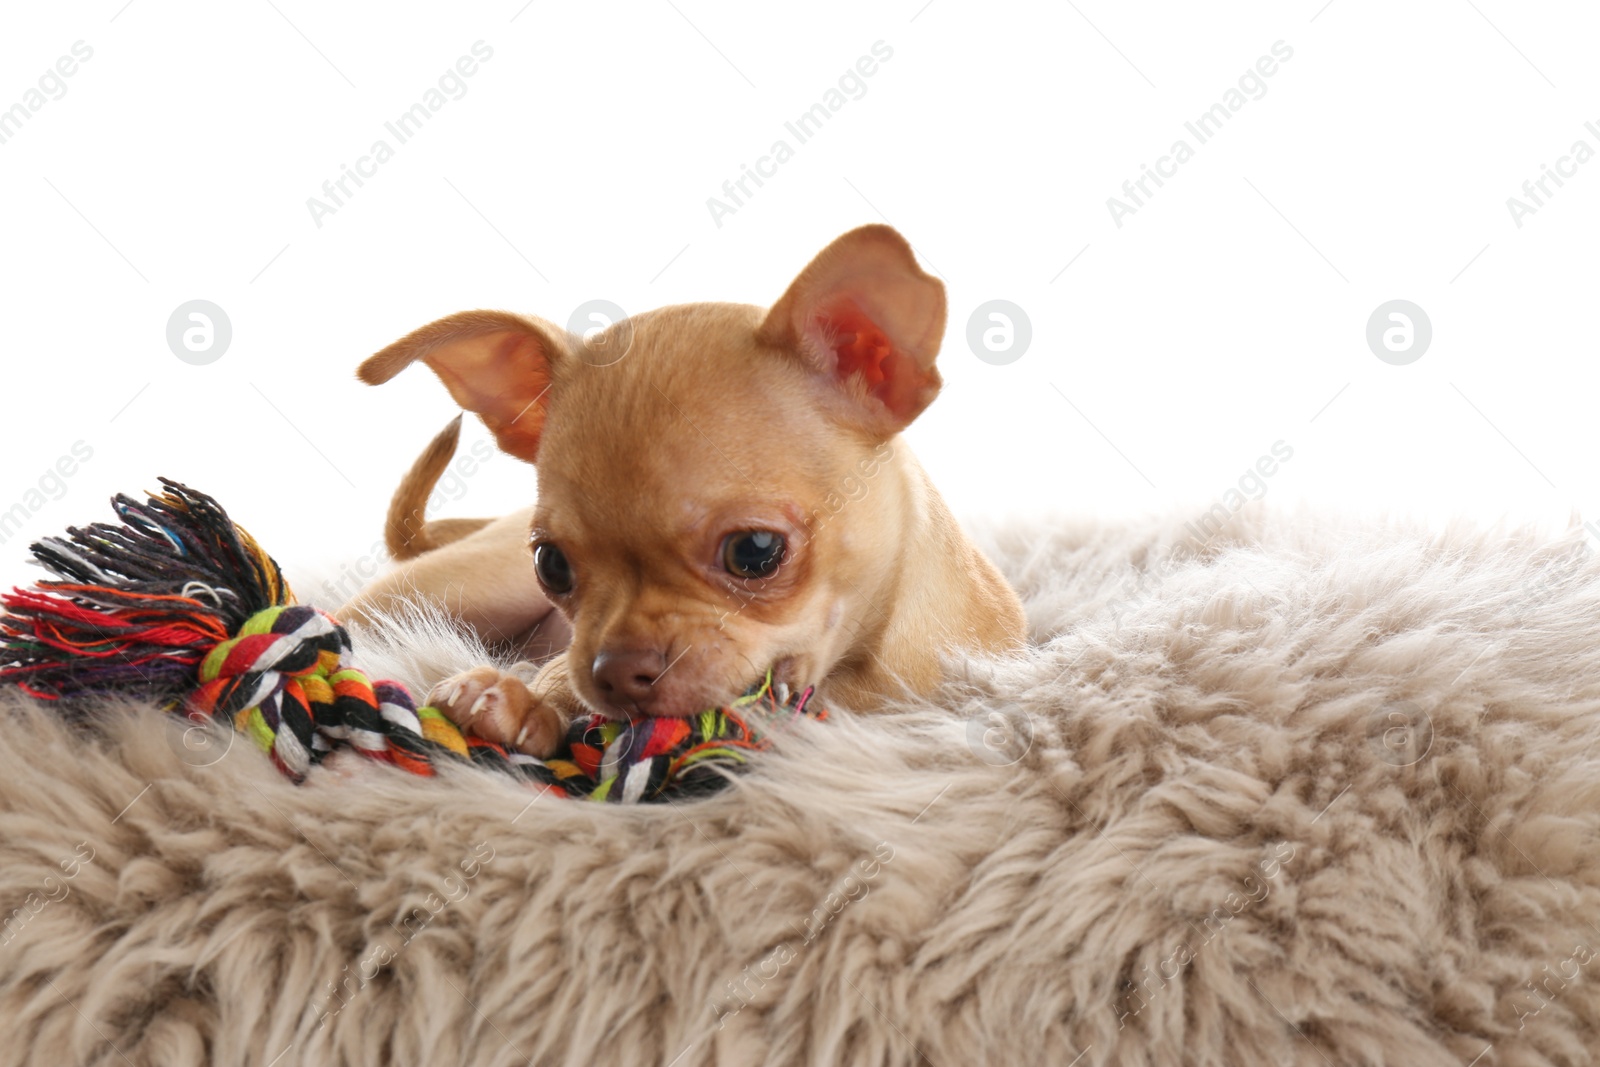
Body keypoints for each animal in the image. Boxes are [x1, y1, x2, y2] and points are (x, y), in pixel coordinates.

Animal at [345, 227, 1030, 758]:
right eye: (552, 565)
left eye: (755, 552)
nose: (617, 672)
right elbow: (559, 671)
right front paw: (522, 698)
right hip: (451, 589)